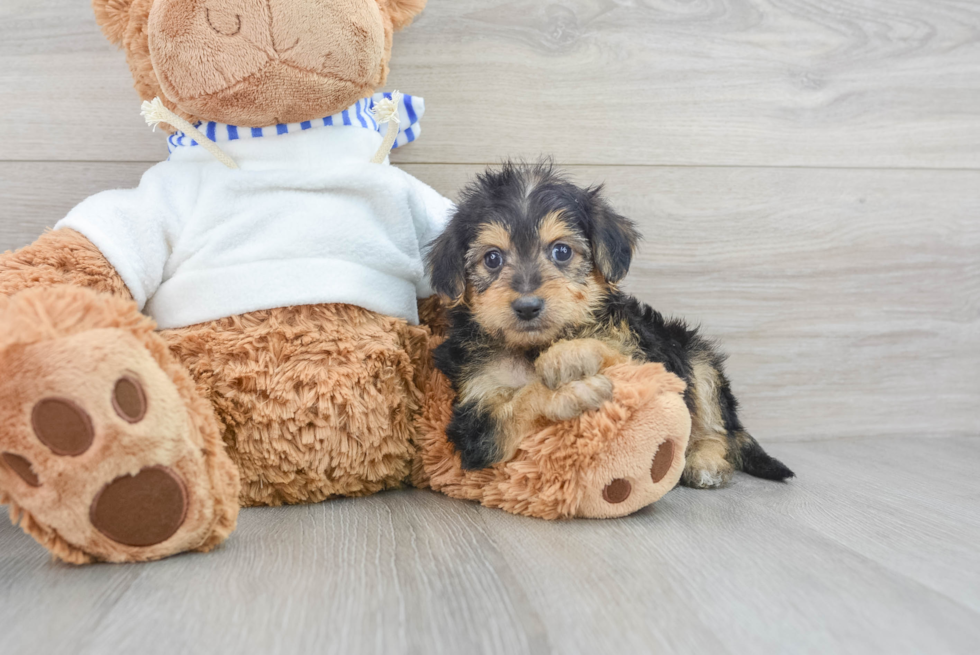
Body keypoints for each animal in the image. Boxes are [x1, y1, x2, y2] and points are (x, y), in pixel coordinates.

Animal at [424, 163, 792, 490]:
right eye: (492, 258)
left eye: (561, 251)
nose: (527, 306)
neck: (535, 346)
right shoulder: (474, 421)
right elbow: (515, 407)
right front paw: (567, 392)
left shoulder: (645, 354)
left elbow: (615, 354)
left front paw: (568, 356)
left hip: (696, 356)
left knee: (718, 428)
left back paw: (705, 461)